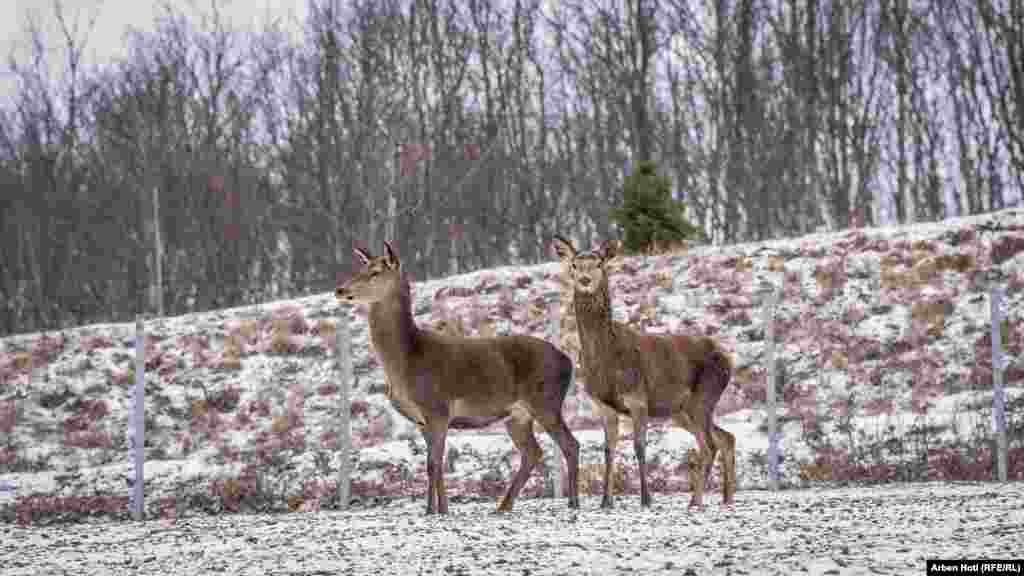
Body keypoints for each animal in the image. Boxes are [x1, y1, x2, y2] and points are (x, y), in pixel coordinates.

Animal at [335, 239, 577, 512]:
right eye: (361, 268)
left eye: (376, 272)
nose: (340, 290)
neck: (406, 362)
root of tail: (568, 361)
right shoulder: (422, 420)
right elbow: (434, 465)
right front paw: (440, 508)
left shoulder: (437, 408)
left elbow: (433, 464)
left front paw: (433, 510)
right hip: (517, 415)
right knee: (533, 452)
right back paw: (503, 506)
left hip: (546, 401)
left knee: (570, 444)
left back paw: (574, 501)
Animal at [552, 233, 737, 506]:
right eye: (574, 265)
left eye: (599, 264)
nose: (585, 280)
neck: (605, 361)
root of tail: (728, 359)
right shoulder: (602, 404)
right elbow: (608, 449)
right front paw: (606, 501)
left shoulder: (638, 398)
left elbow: (639, 446)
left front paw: (646, 498)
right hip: (680, 410)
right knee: (725, 437)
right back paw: (725, 497)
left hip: (705, 395)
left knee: (709, 445)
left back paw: (696, 501)